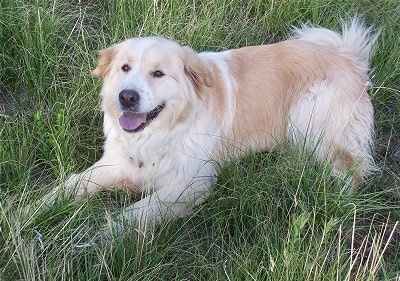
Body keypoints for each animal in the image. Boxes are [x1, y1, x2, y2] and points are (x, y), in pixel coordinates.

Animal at [36, 18, 376, 228]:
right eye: (125, 68)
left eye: (158, 73)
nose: (127, 97)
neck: (160, 134)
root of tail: (349, 57)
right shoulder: (117, 163)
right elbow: (71, 185)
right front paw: (33, 212)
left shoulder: (191, 183)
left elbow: (134, 214)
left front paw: (97, 239)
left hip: (308, 112)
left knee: (349, 172)